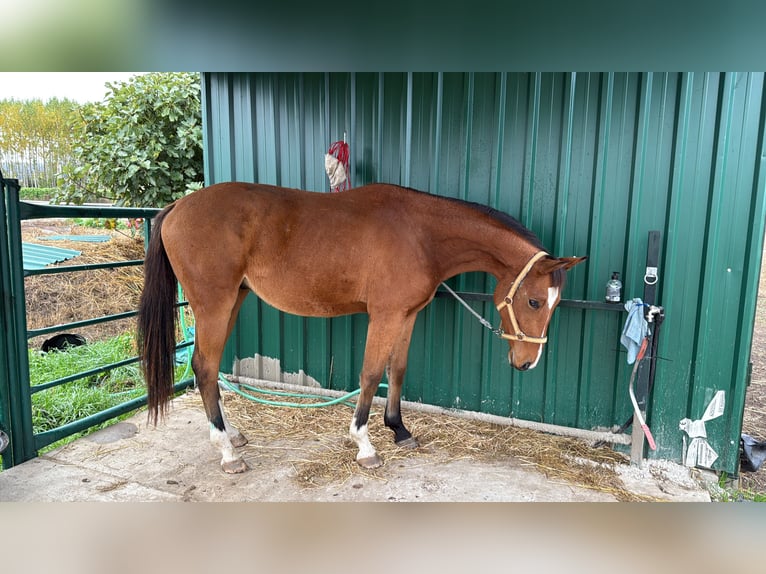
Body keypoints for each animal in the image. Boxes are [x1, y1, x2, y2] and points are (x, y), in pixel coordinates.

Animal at [137, 182, 586, 473]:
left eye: (554, 303)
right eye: (533, 301)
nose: (527, 363)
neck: (420, 234)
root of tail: (177, 207)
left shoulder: (406, 315)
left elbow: (396, 371)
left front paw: (399, 429)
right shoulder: (384, 316)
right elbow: (370, 375)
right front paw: (365, 445)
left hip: (234, 300)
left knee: (207, 370)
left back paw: (232, 435)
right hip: (214, 304)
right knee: (205, 367)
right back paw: (228, 453)